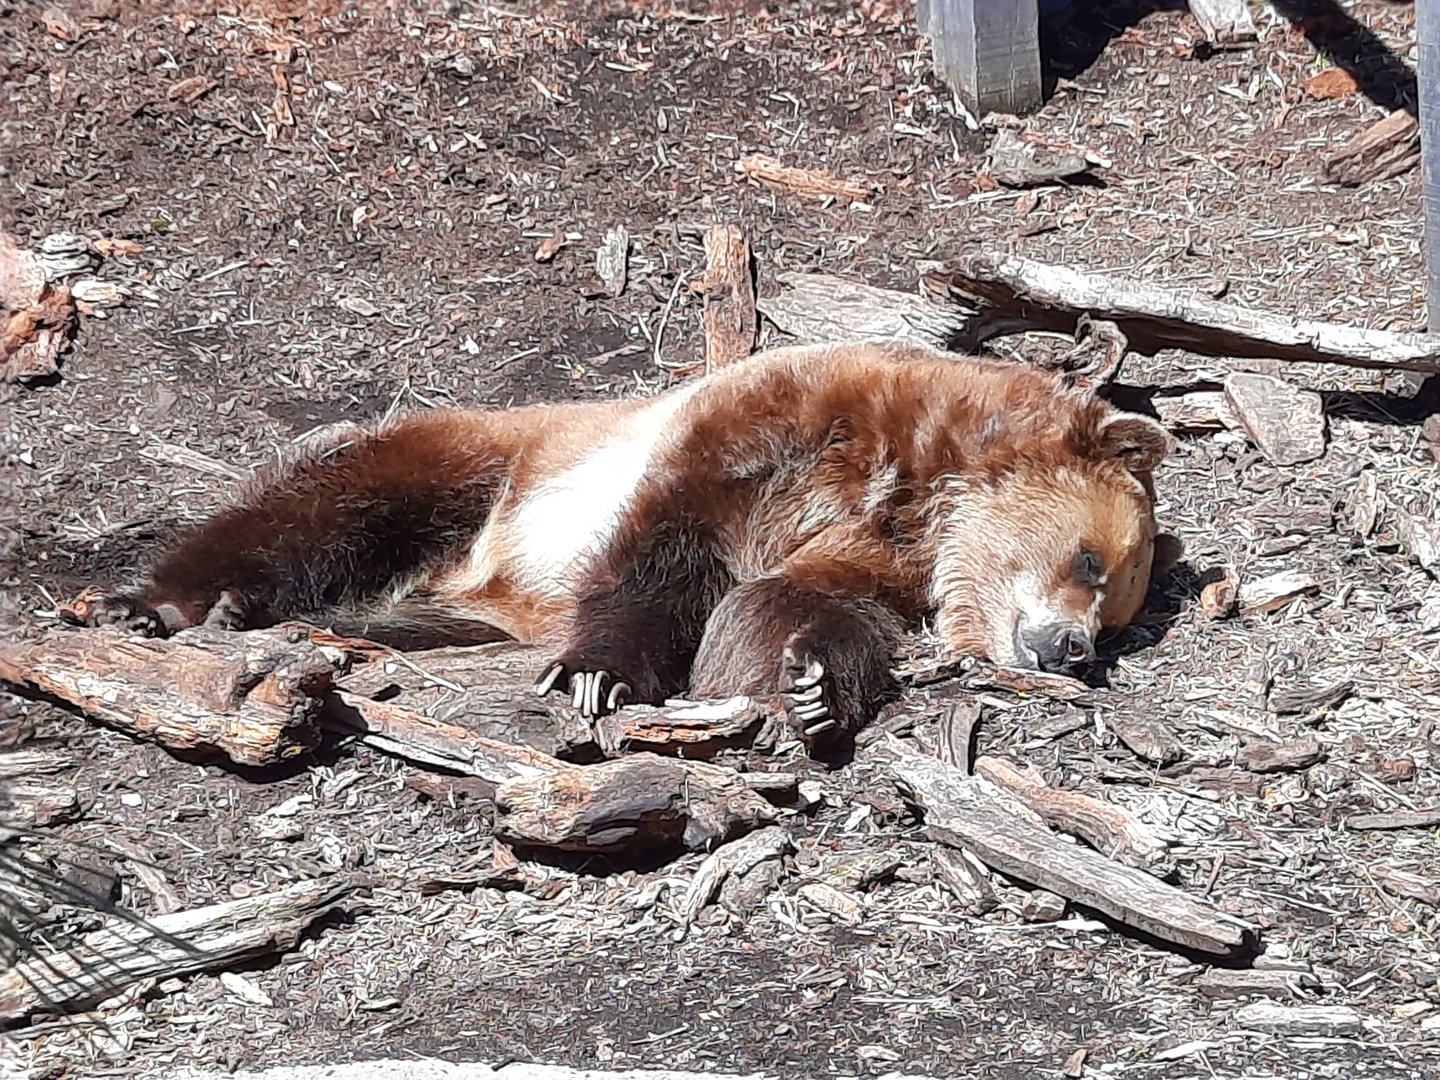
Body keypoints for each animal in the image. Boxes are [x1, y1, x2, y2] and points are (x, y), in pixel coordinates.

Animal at [62, 338, 1179, 754]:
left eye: (1120, 613)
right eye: (1091, 560)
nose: (1070, 648)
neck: (914, 484)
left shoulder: (874, 554)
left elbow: (803, 603)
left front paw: (808, 684)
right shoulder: (770, 432)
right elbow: (666, 553)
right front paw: (599, 675)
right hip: (482, 466)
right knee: (320, 512)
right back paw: (158, 602)